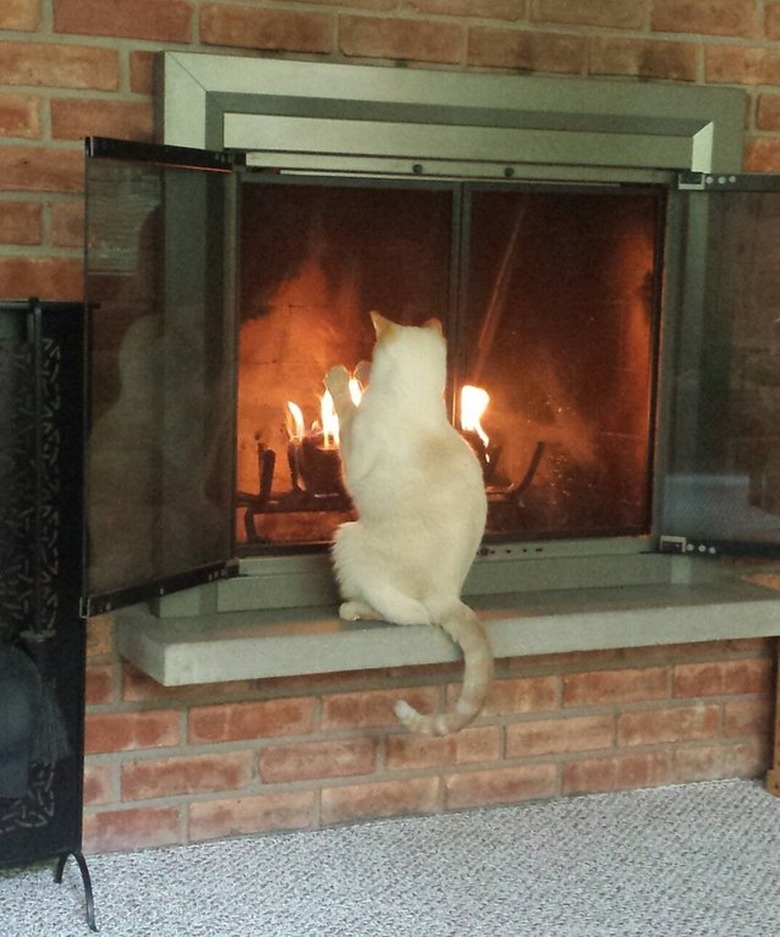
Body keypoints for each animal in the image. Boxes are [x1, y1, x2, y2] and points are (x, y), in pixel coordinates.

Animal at [326, 310, 490, 736]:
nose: (360, 361)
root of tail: (449, 594)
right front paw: (361, 371)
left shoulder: (353, 454)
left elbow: (345, 410)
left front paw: (340, 378)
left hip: (347, 537)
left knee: (406, 615)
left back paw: (351, 608)